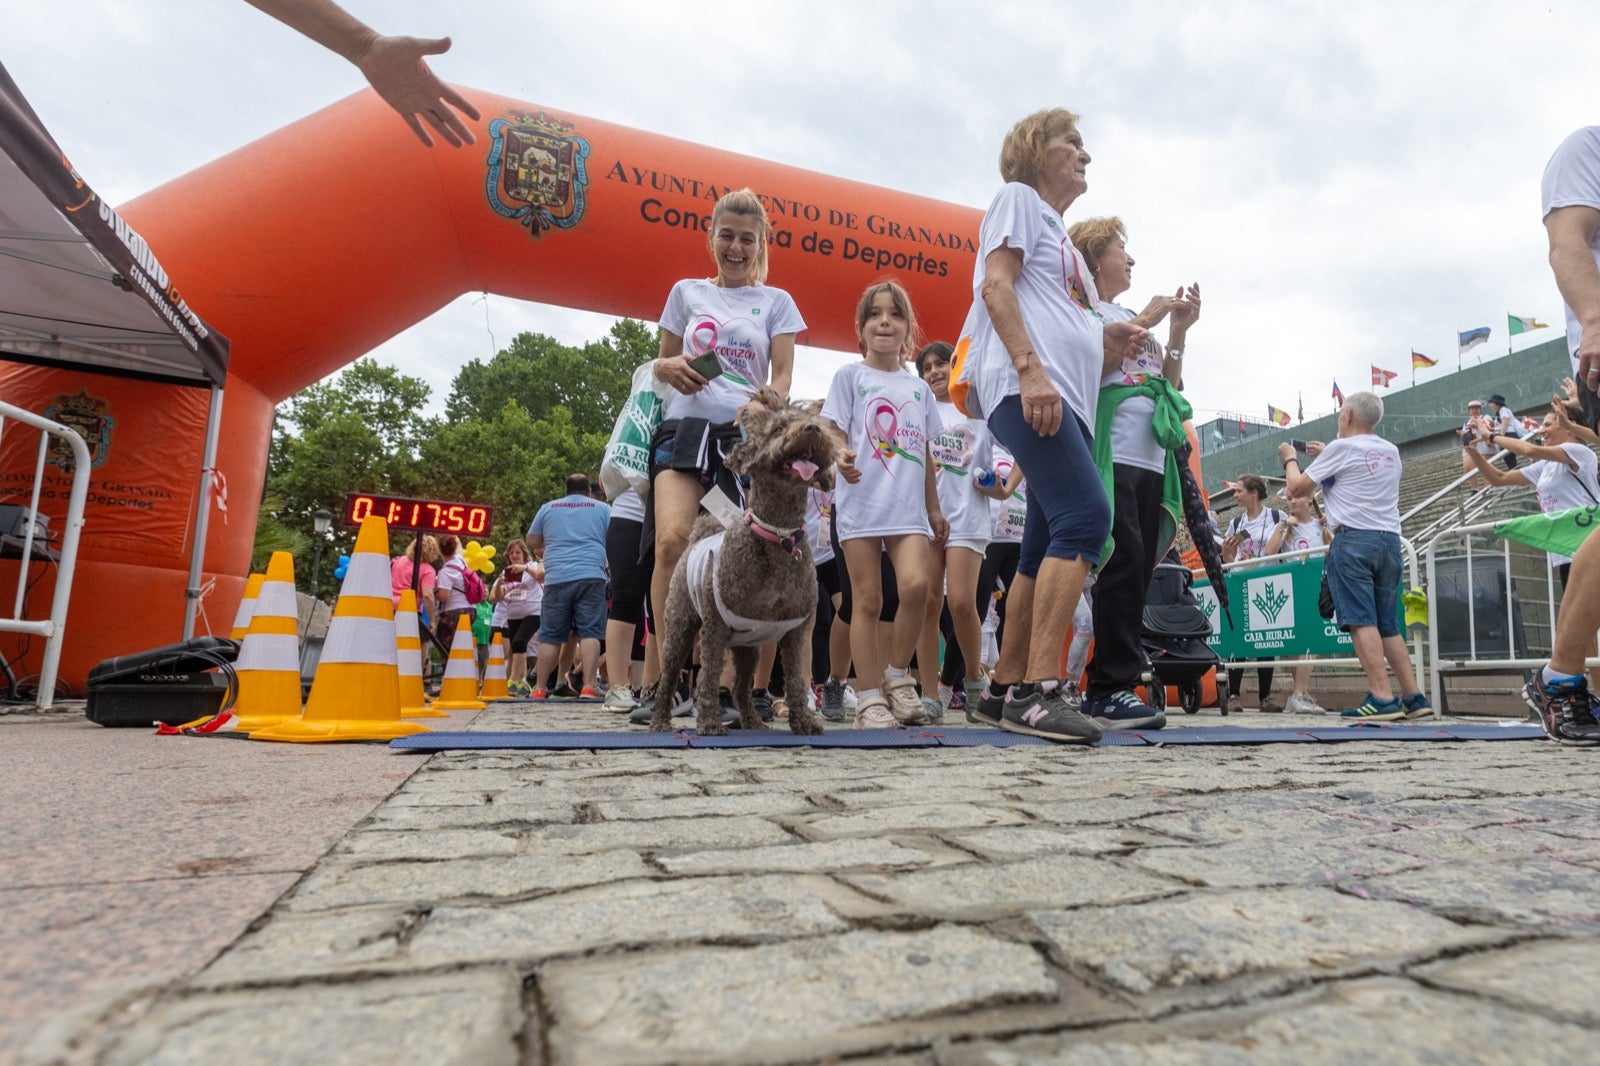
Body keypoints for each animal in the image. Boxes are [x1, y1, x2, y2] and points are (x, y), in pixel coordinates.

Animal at [652, 385, 844, 736]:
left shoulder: (795, 632)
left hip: (748, 645)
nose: (811, 430)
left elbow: (795, 679)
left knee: (741, 685)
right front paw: (710, 722)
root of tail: (698, 537)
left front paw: (803, 721)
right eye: (778, 428)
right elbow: (708, 676)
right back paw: (659, 720)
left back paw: (752, 720)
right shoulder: (714, 628)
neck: (777, 537)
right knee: (670, 675)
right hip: (680, 626)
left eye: (812, 421)